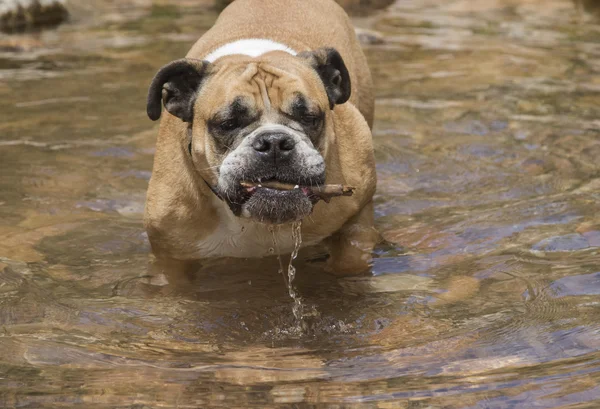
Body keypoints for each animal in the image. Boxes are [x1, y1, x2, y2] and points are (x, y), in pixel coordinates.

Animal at [144, 0, 376, 276]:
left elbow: (350, 261)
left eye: (310, 117)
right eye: (228, 123)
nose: (274, 142)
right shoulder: (170, 258)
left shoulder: (358, 223)